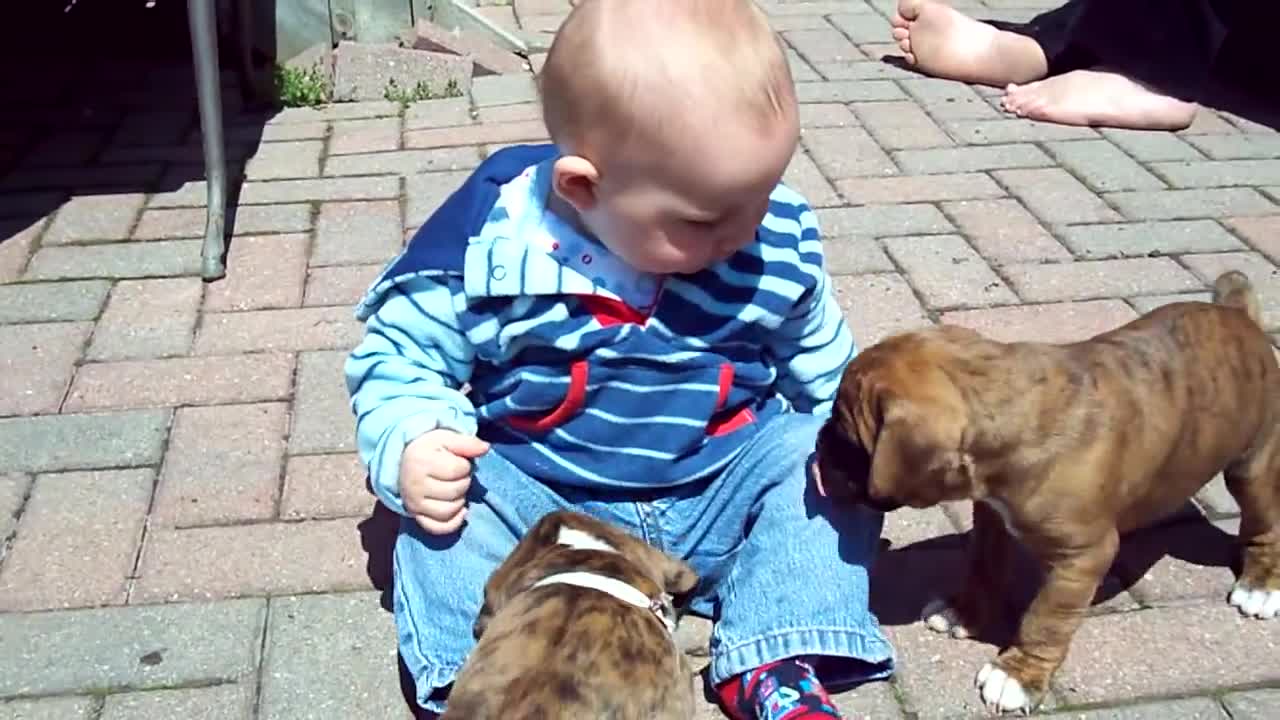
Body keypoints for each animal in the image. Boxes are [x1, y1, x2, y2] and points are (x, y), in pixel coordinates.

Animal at [814, 269, 1274, 712]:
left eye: (847, 438)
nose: (818, 443)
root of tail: (1239, 316)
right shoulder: (992, 516)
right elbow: (983, 564)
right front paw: (964, 610)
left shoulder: (1082, 558)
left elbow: (1045, 618)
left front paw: (1017, 675)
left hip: (1253, 467)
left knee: (1264, 527)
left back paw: (1260, 586)